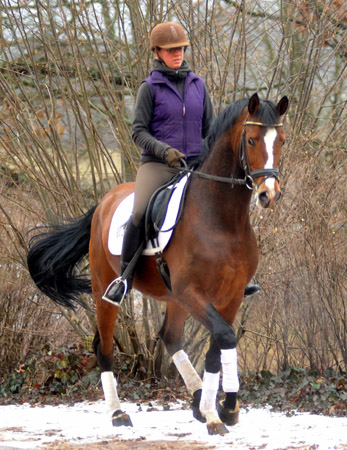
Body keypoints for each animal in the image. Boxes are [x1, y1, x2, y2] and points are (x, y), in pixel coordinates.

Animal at [26, 93, 288, 434]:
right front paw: (218, 413)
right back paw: (118, 413)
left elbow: (219, 345)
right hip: (105, 289)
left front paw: (223, 408)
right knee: (105, 346)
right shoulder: (192, 292)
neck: (221, 220)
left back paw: (197, 401)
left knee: (170, 337)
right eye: (252, 139)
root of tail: (104, 201)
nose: (269, 194)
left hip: (174, 299)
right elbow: (224, 338)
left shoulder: (229, 296)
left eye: (281, 140)